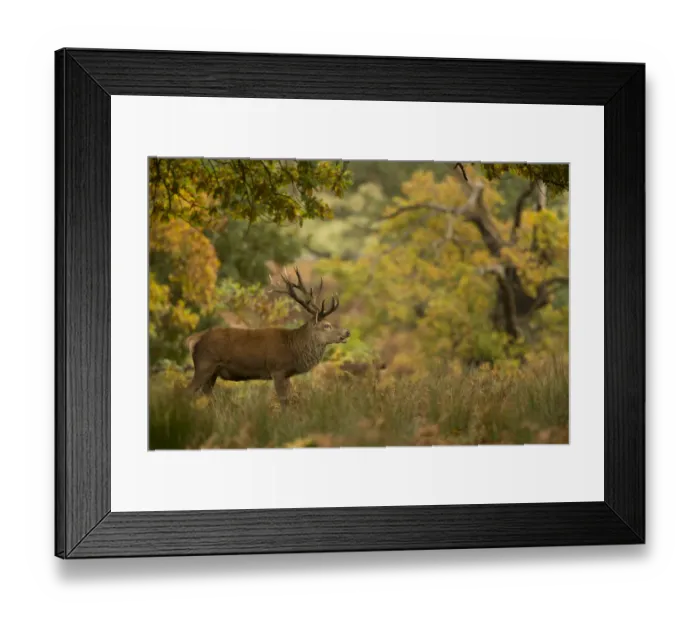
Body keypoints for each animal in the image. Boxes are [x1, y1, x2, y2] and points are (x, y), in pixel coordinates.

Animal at [184, 266, 350, 406]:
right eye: (326, 325)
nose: (346, 332)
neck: (293, 348)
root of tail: (193, 339)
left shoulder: (286, 374)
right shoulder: (277, 369)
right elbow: (284, 401)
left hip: (212, 372)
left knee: (205, 397)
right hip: (204, 364)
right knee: (186, 392)